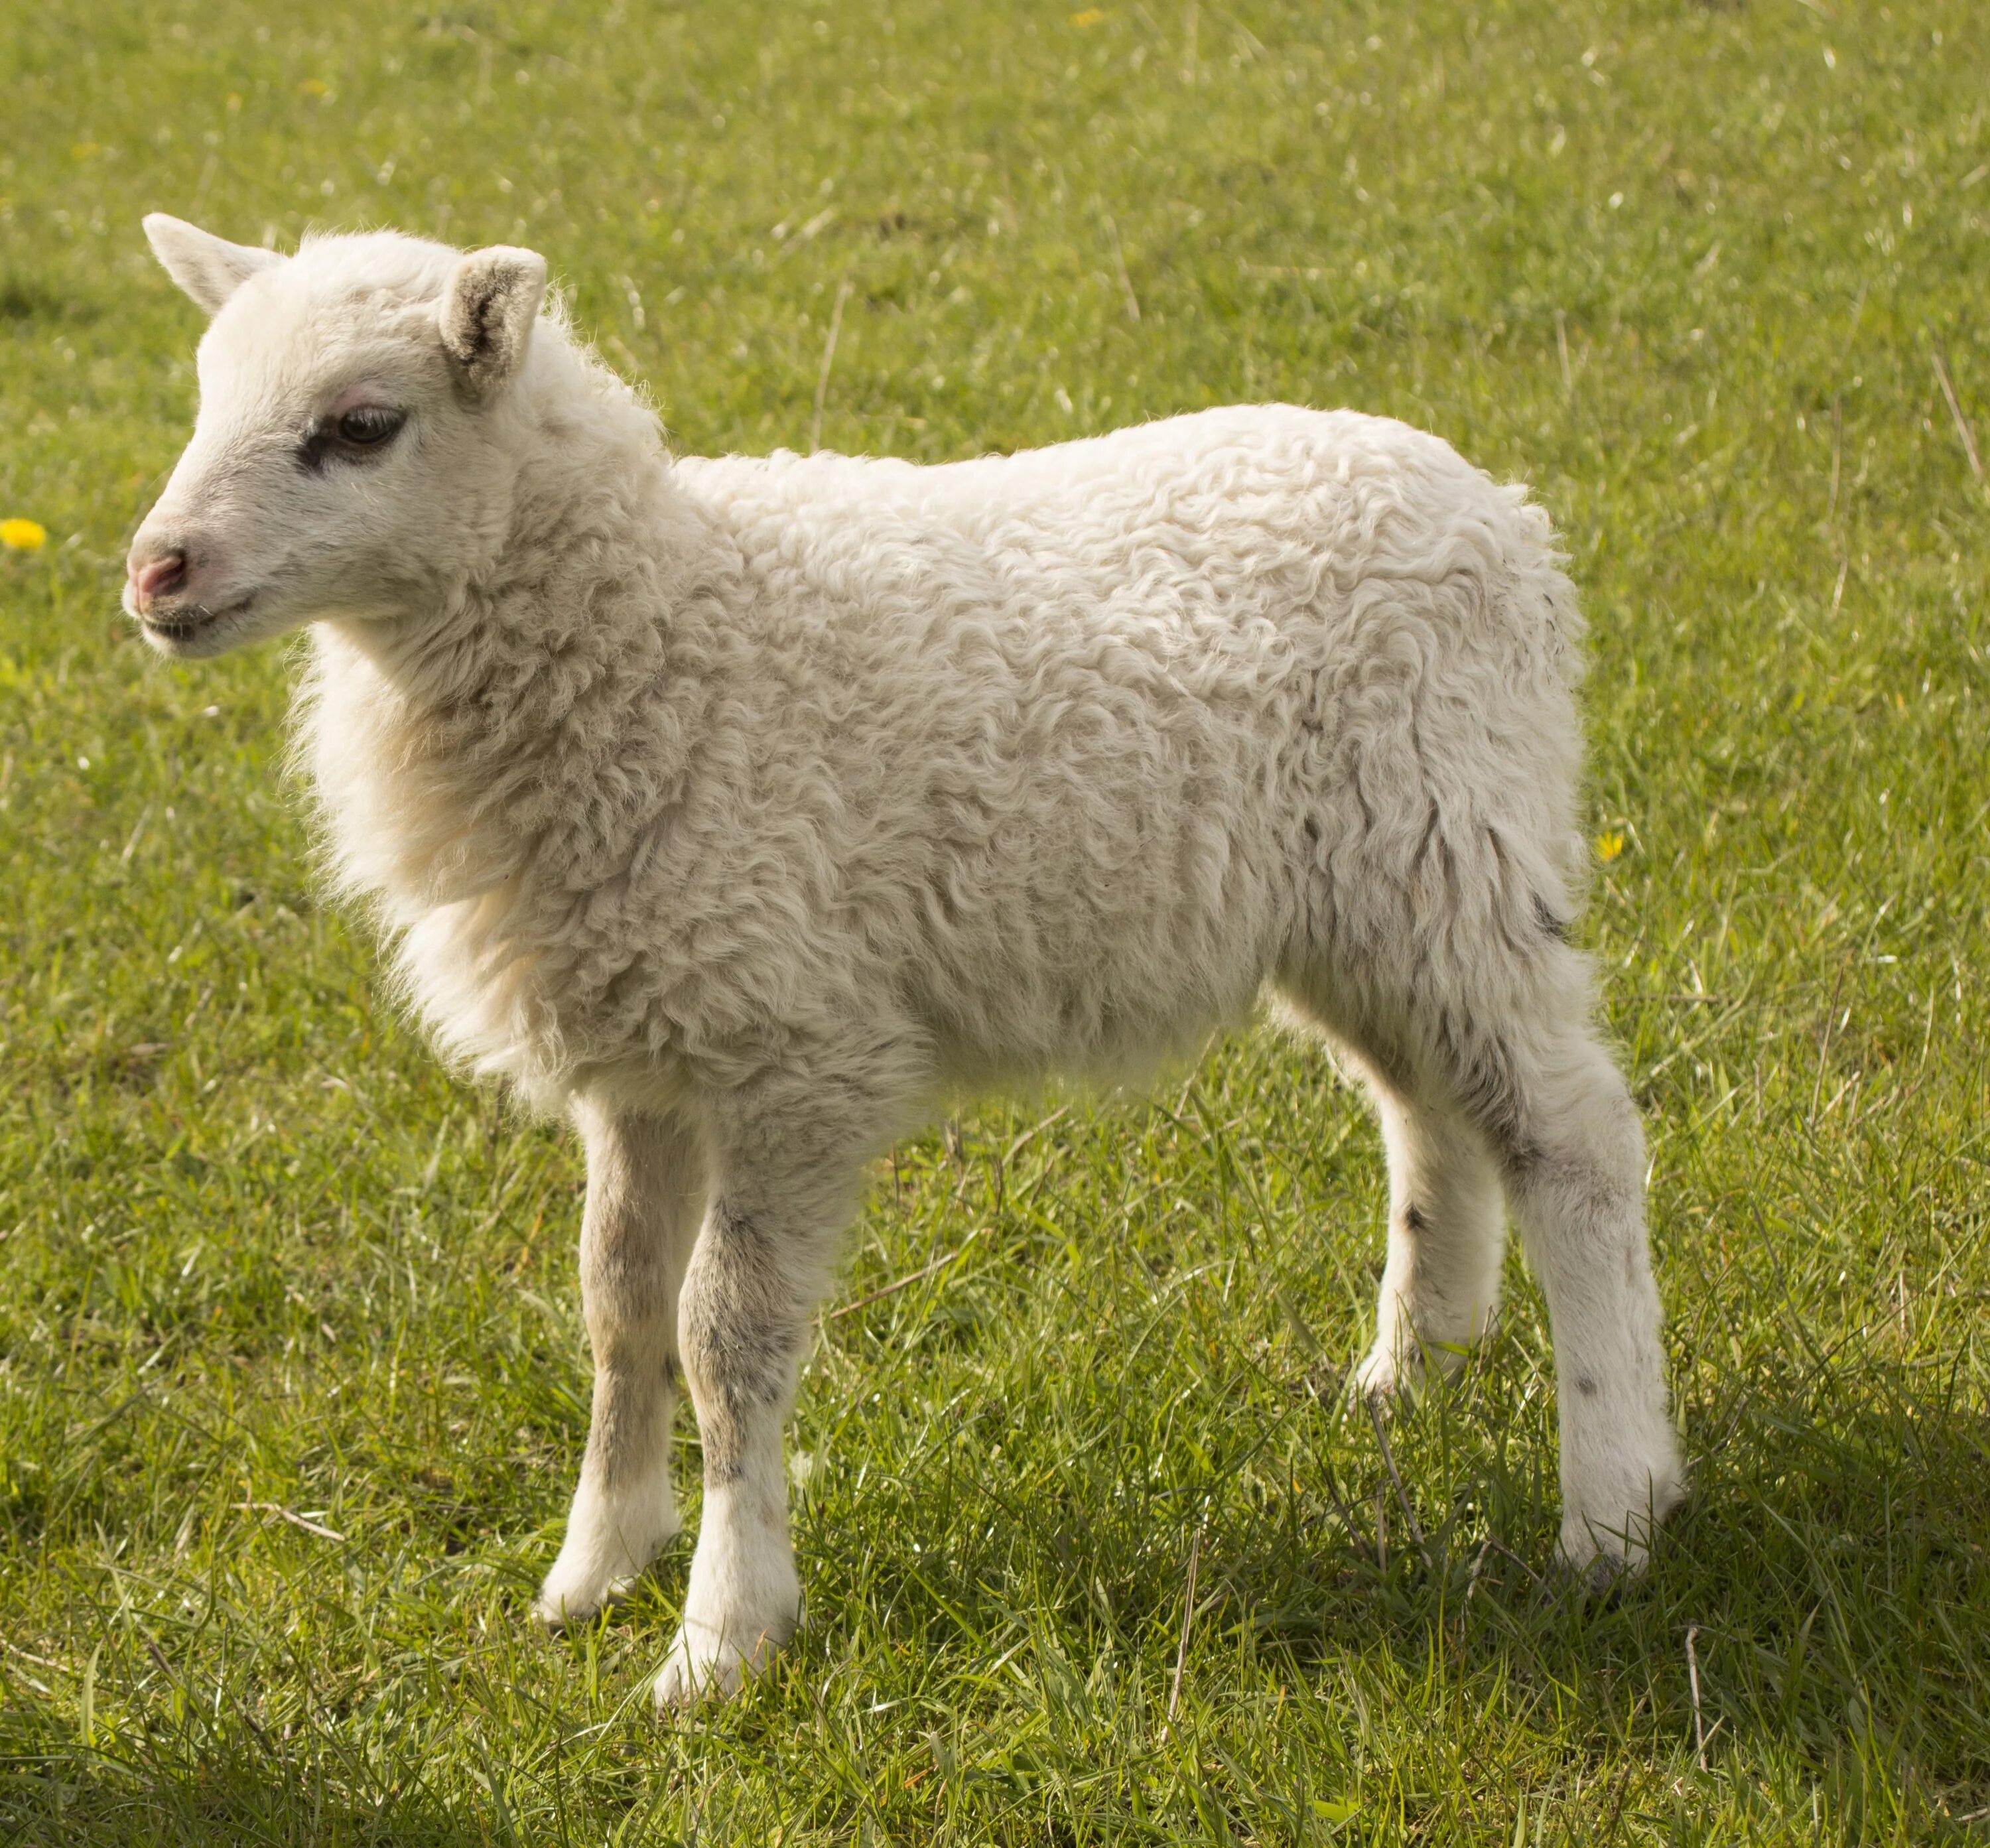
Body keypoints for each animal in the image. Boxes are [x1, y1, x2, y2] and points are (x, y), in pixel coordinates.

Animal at [124, 215, 1683, 1709]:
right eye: (203, 396)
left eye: (362, 425)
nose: (155, 574)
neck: (663, 626)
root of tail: (1502, 513)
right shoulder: (643, 1046)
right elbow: (617, 1306)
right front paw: (595, 1565)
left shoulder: (799, 1052)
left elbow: (722, 1341)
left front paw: (720, 1638)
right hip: (1361, 908)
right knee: (1431, 1115)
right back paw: (1414, 1373)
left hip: (1455, 850)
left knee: (1575, 1140)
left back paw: (1613, 1503)